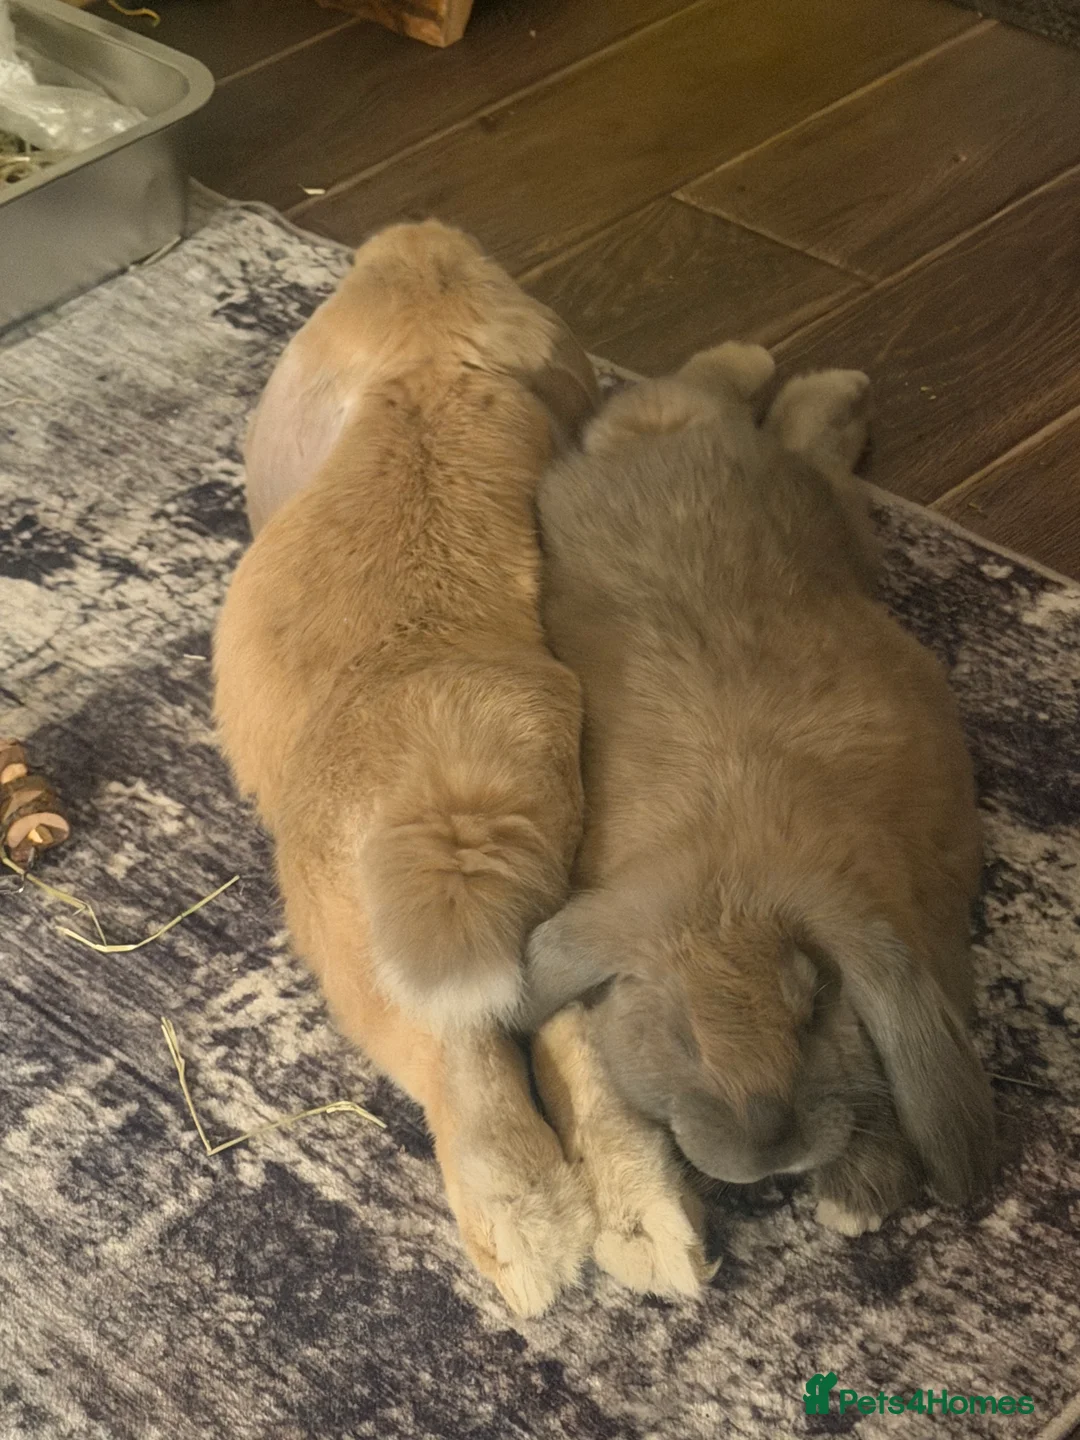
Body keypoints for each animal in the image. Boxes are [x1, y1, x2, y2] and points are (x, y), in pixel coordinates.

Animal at [214, 220, 617, 1314]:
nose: (413, 235)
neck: (427, 378)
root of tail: (448, 790)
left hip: (366, 963)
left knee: (462, 1079)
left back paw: (527, 1250)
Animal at [522, 342, 996, 1242]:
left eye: (814, 1009)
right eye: (681, 1034)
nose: (771, 1140)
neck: (735, 870)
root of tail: (669, 446)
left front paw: (856, 1199)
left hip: (835, 521)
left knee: (743, 409)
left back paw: (811, 377)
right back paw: (801, 376)